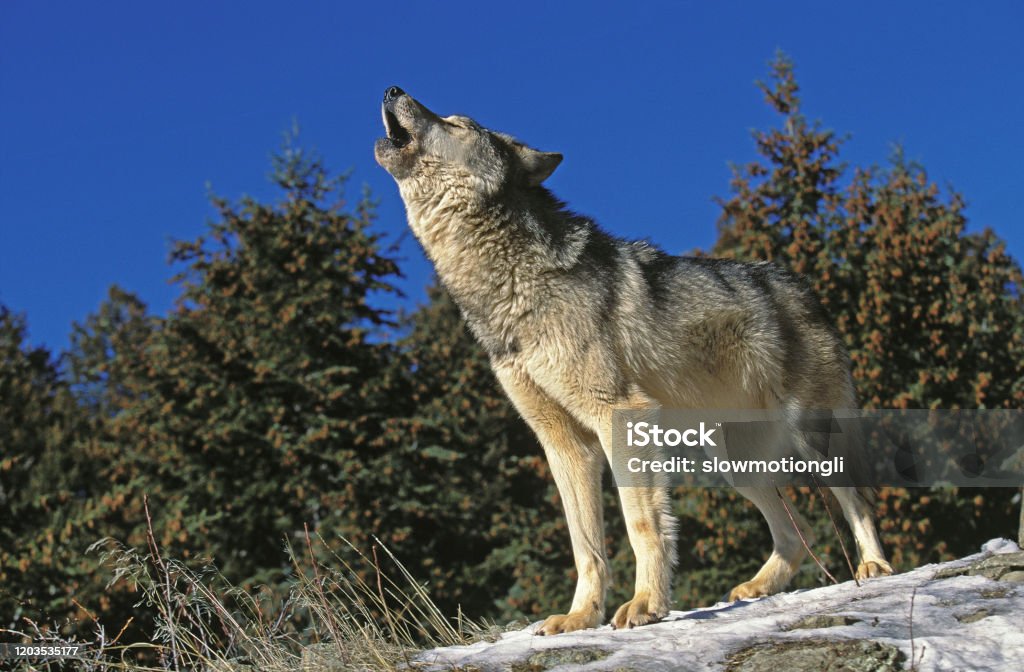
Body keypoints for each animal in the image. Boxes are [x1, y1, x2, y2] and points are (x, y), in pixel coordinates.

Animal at [374, 86, 888, 631]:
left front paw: (646, 606)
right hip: (731, 464)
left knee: (858, 500)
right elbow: (585, 545)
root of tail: (805, 288)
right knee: (799, 530)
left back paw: (874, 567)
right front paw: (579, 617)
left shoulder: (619, 416)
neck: (508, 286)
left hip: (808, 441)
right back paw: (756, 589)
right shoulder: (564, 444)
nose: (392, 89)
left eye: (458, 124)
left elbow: (642, 524)